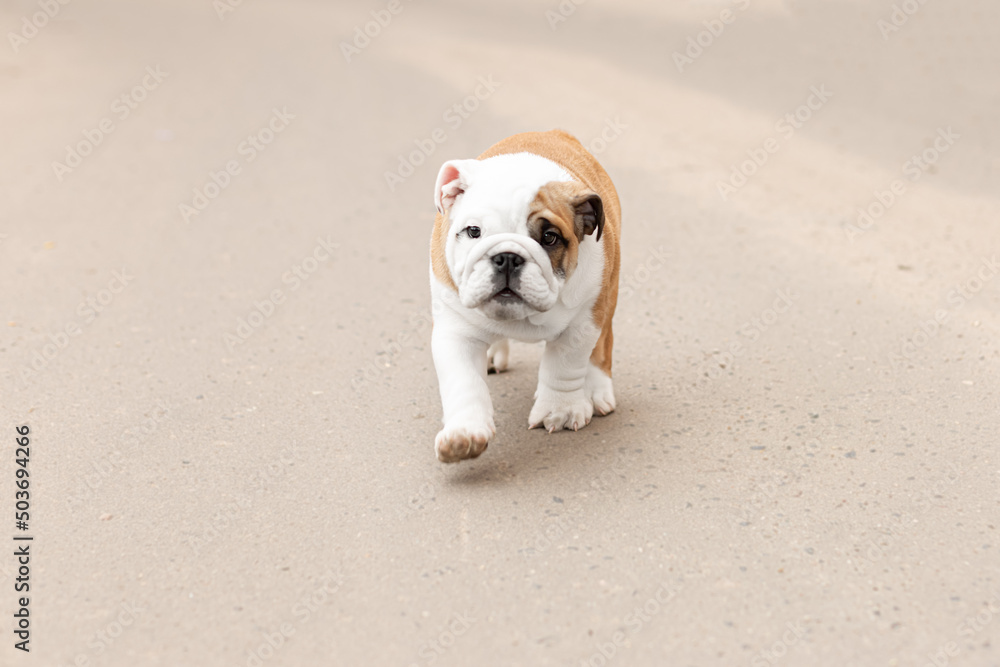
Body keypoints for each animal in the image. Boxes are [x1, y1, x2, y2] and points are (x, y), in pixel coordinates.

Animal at [428, 130, 620, 464]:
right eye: (474, 231)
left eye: (549, 238)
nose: (507, 257)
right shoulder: (455, 331)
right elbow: (464, 382)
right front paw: (464, 434)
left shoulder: (584, 321)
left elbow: (565, 365)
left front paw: (560, 411)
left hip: (608, 295)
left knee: (602, 347)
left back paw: (597, 389)